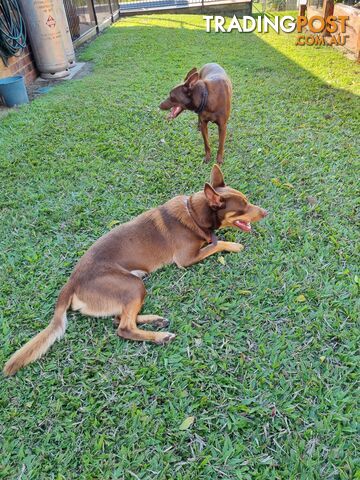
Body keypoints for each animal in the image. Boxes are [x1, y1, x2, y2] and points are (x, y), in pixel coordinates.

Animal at [3, 167, 268, 376]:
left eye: (247, 201)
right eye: (243, 206)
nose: (266, 212)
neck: (195, 212)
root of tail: (71, 283)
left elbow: (215, 240)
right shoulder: (186, 259)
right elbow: (217, 243)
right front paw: (233, 245)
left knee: (119, 318)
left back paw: (155, 320)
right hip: (132, 286)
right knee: (124, 328)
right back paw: (160, 337)